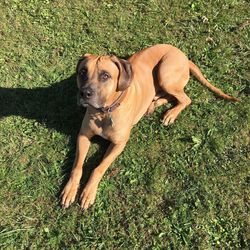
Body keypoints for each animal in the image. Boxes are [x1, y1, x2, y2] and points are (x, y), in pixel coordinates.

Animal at [60, 43, 238, 209]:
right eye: (82, 72)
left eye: (105, 75)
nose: (84, 93)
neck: (105, 112)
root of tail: (183, 55)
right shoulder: (83, 135)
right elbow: (77, 166)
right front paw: (70, 190)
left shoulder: (119, 144)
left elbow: (99, 168)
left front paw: (88, 192)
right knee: (170, 96)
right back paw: (153, 104)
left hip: (165, 73)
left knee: (185, 99)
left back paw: (170, 113)